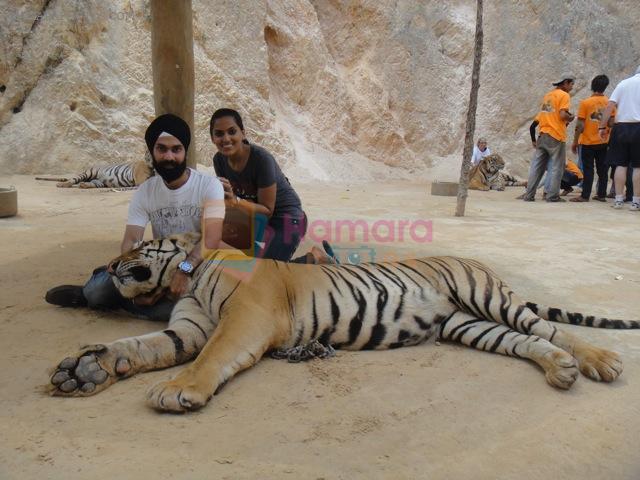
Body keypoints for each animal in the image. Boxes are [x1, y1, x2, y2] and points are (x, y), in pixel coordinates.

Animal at [46, 233, 636, 412]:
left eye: (139, 246)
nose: (108, 266)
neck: (185, 279)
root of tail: (476, 260)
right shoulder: (188, 328)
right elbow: (142, 344)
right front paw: (85, 370)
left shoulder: (246, 317)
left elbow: (211, 356)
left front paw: (177, 391)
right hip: (466, 324)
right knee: (527, 341)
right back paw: (561, 371)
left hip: (485, 295)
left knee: (550, 328)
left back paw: (600, 361)